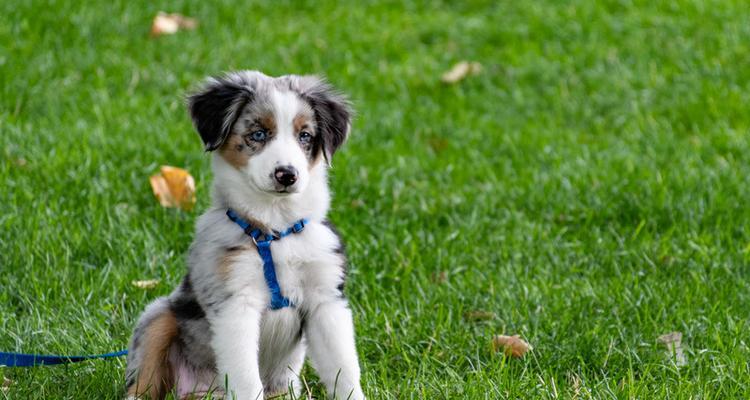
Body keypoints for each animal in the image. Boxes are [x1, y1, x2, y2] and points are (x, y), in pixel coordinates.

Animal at [125, 72, 366, 400]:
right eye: (259, 134)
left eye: (305, 136)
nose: (287, 174)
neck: (275, 230)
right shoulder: (235, 304)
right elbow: (246, 379)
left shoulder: (326, 300)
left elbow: (344, 370)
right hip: (158, 316)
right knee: (143, 381)